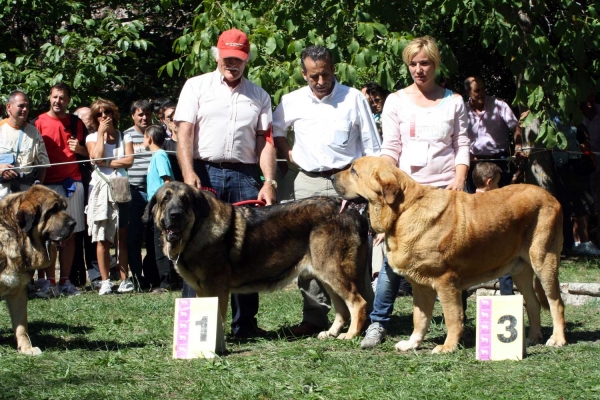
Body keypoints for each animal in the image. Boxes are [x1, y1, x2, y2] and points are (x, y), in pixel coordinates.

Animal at [0, 184, 77, 354]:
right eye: (52, 210)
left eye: (64, 207)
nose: (74, 223)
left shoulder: (18, 291)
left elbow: (21, 326)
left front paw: (26, 348)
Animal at [148, 183, 372, 340]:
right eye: (165, 199)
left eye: (185, 200)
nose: (175, 215)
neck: (196, 231)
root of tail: (351, 210)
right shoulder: (202, 291)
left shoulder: (217, 289)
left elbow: (219, 317)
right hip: (326, 274)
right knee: (342, 309)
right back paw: (332, 333)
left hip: (333, 271)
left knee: (358, 303)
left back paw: (350, 335)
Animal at [332, 156, 568, 354]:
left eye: (353, 170)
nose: (331, 177)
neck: (403, 211)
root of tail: (551, 197)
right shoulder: (421, 286)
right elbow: (419, 319)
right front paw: (412, 343)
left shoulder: (446, 282)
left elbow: (453, 317)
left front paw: (448, 347)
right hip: (520, 269)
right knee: (533, 302)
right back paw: (533, 337)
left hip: (544, 260)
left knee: (556, 302)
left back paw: (557, 339)